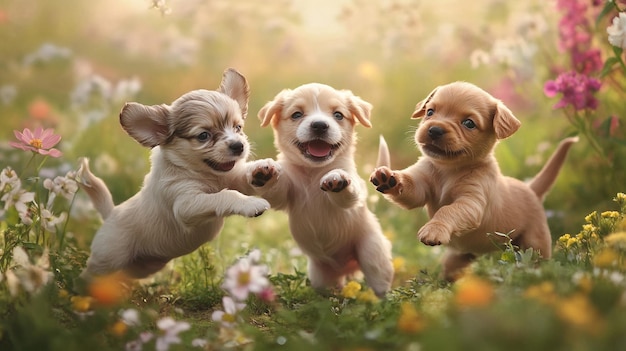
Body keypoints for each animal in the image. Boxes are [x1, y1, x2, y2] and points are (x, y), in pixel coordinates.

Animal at [76, 67, 268, 280]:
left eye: (238, 127)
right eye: (203, 136)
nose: (238, 146)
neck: (207, 174)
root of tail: (110, 213)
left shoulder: (230, 177)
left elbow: (240, 177)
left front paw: (262, 170)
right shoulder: (185, 204)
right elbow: (226, 195)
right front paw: (250, 204)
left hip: (142, 268)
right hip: (108, 260)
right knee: (89, 275)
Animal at [247, 84, 390, 298]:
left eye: (338, 115)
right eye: (297, 114)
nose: (320, 125)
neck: (313, 172)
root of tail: (347, 267)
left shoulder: (352, 196)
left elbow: (347, 190)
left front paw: (337, 178)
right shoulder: (284, 195)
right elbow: (276, 188)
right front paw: (264, 170)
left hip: (372, 254)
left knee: (380, 286)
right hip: (320, 275)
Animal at [370, 81, 576, 282]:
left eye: (468, 123)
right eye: (430, 112)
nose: (434, 130)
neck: (448, 170)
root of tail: (531, 188)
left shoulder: (472, 202)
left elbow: (448, 210)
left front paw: (434, 229)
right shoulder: (421, 183)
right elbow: (410, 188)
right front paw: (388, 178)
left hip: (535, 243)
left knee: (537, 262)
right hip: (458, 257)